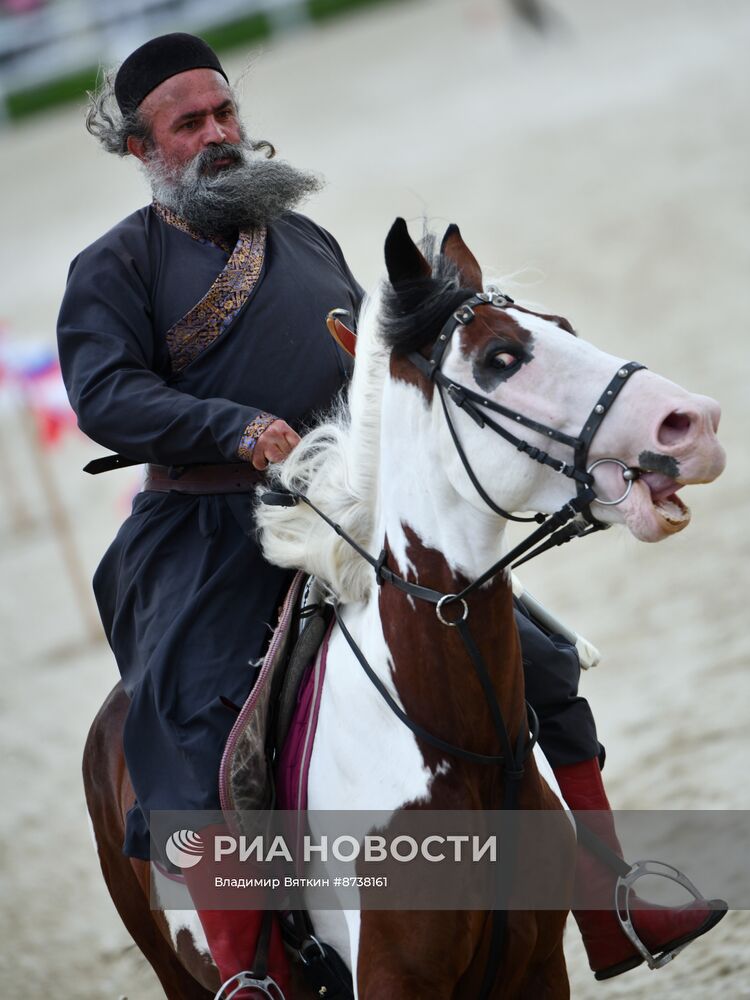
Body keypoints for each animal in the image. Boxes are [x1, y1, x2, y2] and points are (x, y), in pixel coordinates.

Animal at [83, 215, 728, 996]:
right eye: (501, 358)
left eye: (565, 328)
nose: (691, 424)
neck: (455, 739)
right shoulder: (393, 976)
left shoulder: (539, 965)